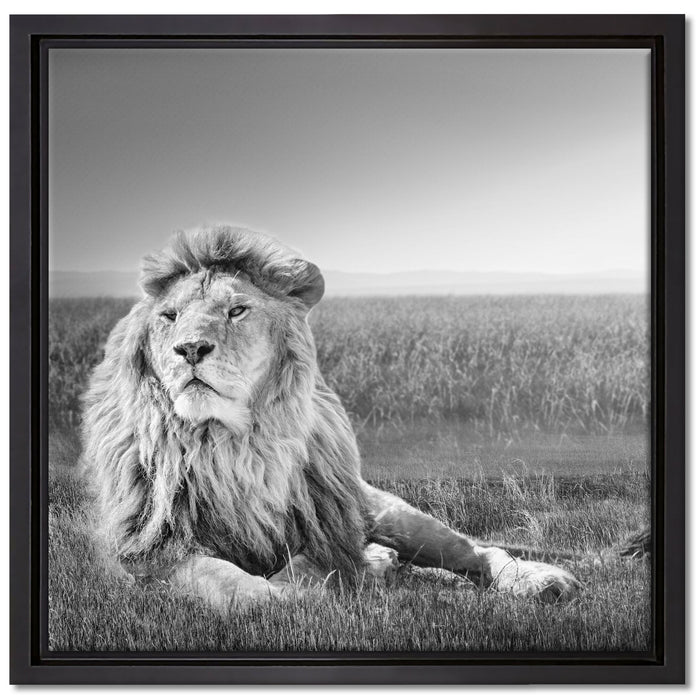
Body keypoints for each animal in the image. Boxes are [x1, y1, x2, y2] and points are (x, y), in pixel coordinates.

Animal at [82, 225, 581, 609]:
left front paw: (332, 578)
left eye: (237, 310)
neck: (230, 444)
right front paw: (289, 594)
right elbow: (229, 584)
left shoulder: (325, 527)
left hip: (389, 514)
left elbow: (312, 565)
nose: (189, 349)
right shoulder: (149, 551)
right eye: (169, 316)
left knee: (475, 551)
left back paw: (541, 581)